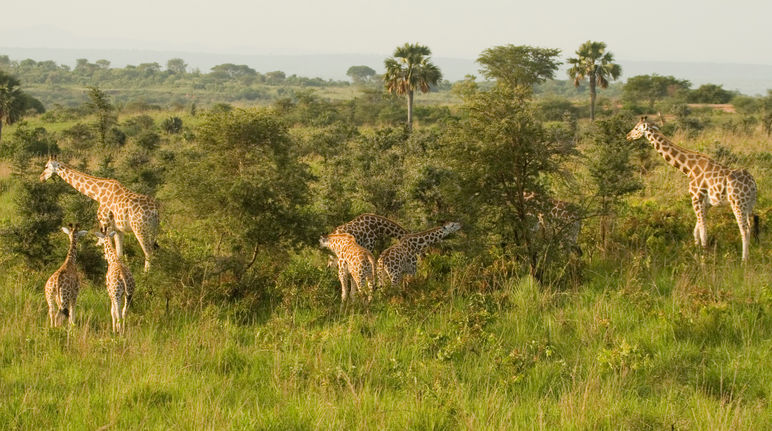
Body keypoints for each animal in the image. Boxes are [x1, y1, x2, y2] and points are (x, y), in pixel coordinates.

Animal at [624, 116, 756, 262]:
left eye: (636, 128)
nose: (627, 136)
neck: (689, 169)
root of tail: (752, 183)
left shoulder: (696, 198)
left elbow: (703, 231)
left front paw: (704, 258)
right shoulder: (706, 203)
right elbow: (696, 230)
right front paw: (698, 253)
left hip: (737, 202)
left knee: (744, 229)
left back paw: (744, 261)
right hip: (749, 204)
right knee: (750, 226)